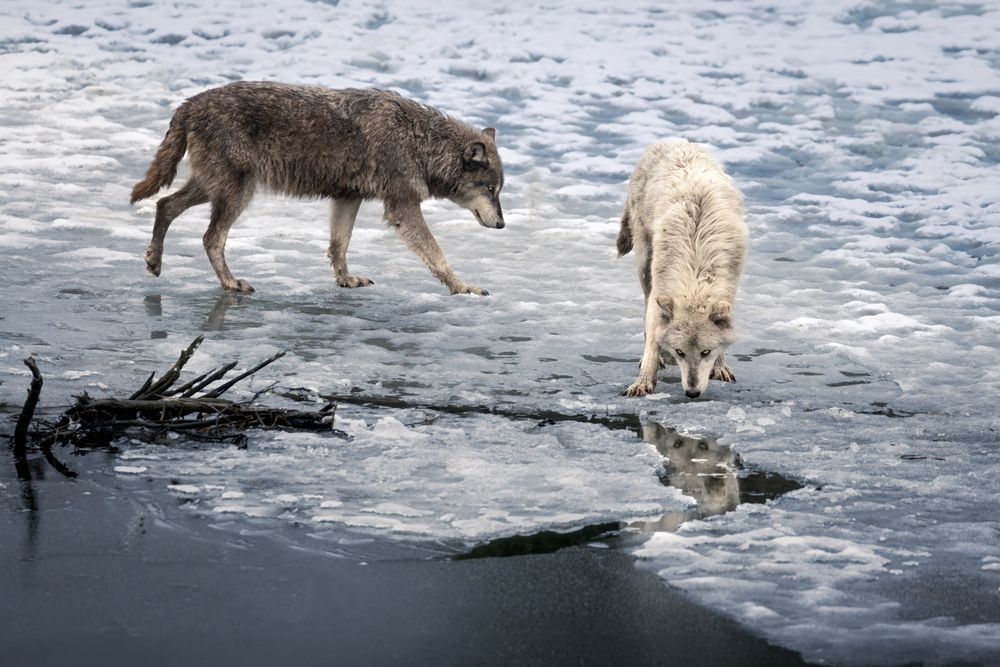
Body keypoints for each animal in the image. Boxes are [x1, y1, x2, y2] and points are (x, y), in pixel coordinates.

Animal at [130, 81, 505, 295]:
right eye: (490, 190)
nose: (502, 225)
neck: (420, 141)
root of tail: (188, 104)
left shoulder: (348, 198)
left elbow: (339, 245)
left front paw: (346, 280)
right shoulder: (402, 207)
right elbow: (438, 255)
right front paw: (463, 287)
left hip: (213, 188)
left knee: (165, 205)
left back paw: (154, 262)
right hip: (236, 193)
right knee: (210, 237)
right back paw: (230, 283)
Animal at [617, 141, 748, 398]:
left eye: (706, 352)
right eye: (680, 352)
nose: (692, 393)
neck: (696, 271)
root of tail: (671, 141)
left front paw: (720, 366)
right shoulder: (660, 289)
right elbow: (653, 337)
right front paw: (644, 380)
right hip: (644, 263)